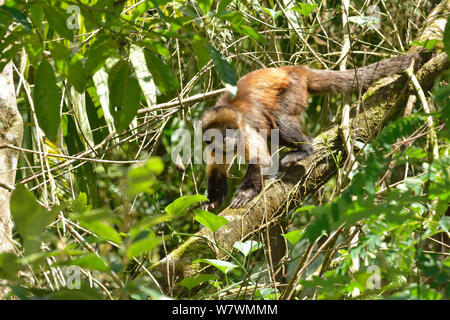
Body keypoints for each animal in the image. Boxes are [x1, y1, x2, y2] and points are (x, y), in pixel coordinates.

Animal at [201, 50, 432, 210]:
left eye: (230, 132)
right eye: (219, 135)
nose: (227, 141)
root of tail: (296, 69)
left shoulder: (244, 129)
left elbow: (261, 160)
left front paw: (246, 192)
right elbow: (216, 171)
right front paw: (212, 201)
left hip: (293, 89)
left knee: (280, 121)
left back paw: (303, 150)